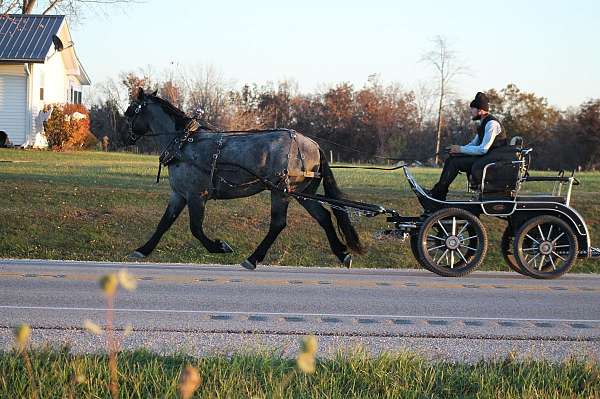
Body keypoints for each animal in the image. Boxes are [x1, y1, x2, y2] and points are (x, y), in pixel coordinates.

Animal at [124, 86, 364, 268]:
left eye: (130, 111)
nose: (126, 137)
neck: (184, 143)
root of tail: (313, 144)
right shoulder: (179, 194)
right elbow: (164, 223)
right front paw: (142, 250)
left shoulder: (196, 195)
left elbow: (196, 228)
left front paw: (219, 246)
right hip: (301, 192)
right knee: (323, 217)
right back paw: (342, 254)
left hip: (281, 191)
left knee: (278, 223)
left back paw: (253, 258)